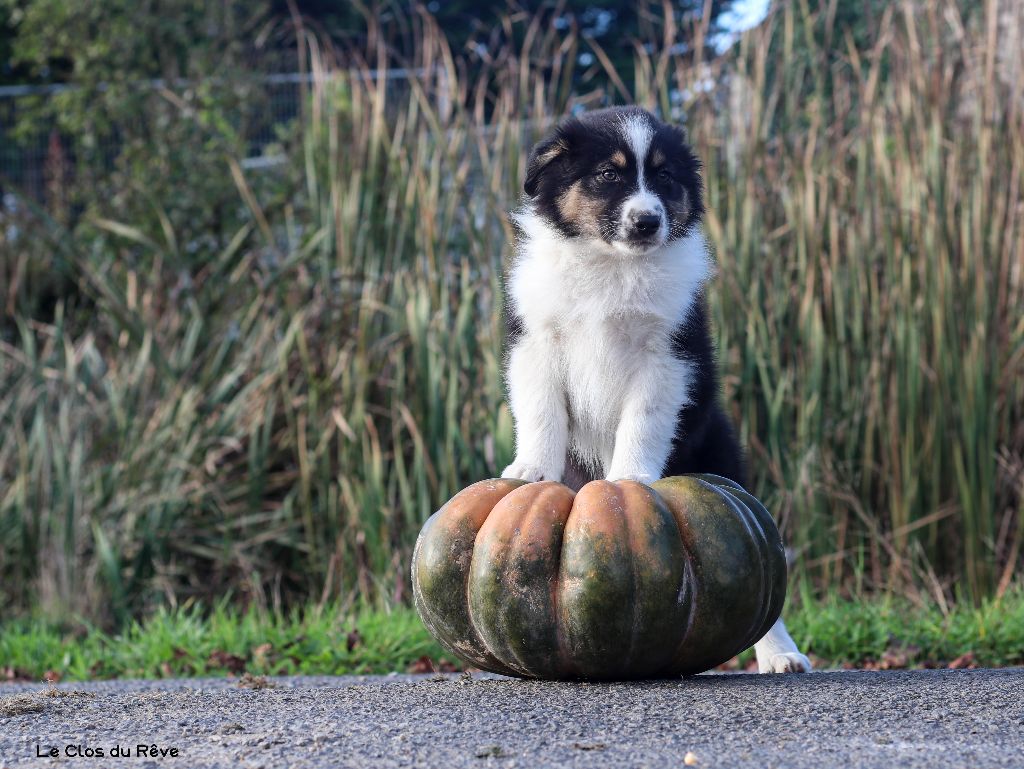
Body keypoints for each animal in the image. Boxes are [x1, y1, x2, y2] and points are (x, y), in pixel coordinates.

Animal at [499, 107, 811, 671]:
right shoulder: (536, 344)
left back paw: (782, 655)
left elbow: (640, 424)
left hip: (723, 464)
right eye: (608, 174)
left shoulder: (666, 359)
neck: (610, 264)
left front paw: (629, 478)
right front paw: (531, 468)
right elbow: (541, 413)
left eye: (665, 177)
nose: (648, 221)